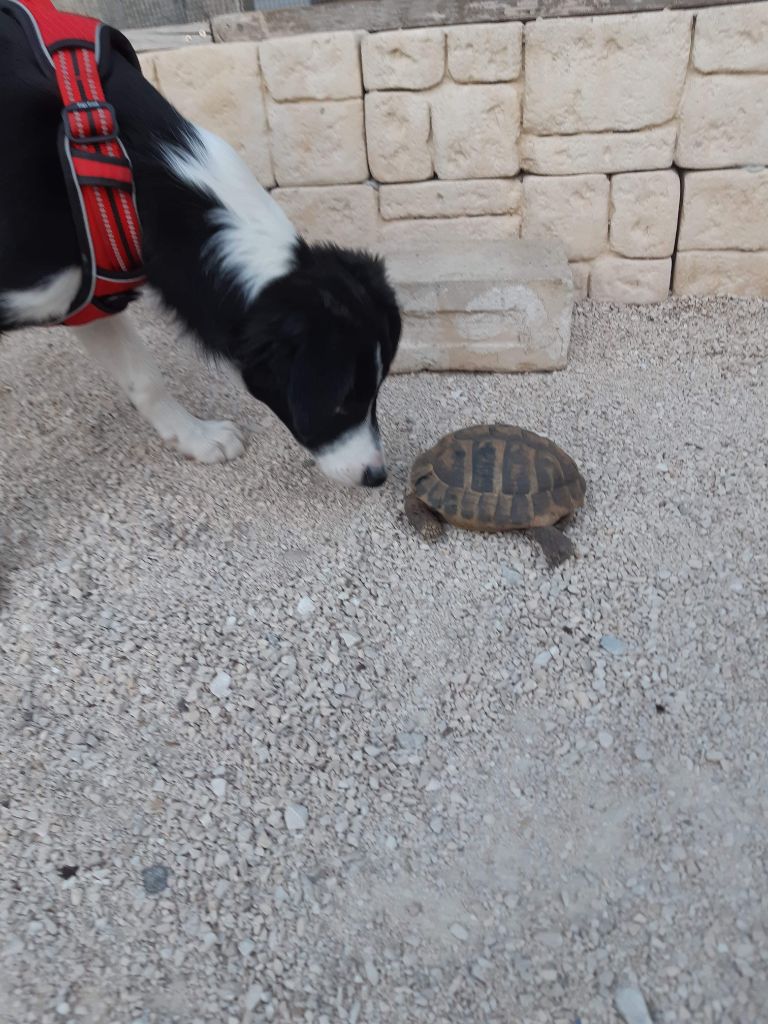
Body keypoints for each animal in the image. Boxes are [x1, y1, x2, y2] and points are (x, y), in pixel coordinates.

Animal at [0, 11, 405, 483]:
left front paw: (195, 438)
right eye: (340, 400)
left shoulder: (86, 293)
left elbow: (143, 378)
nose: (376, 476)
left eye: (376, 389)